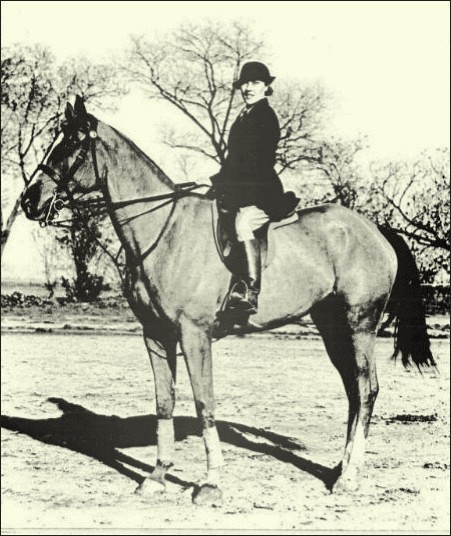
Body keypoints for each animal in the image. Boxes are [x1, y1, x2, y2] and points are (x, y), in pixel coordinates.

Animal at [20, 97, 434, 506]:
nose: (29, 201)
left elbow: (204, 403)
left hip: (360, 323)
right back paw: (341, 468)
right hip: (331, 326)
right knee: (352, 390)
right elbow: (164, 402)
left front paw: (211, 483)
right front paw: (157, 477)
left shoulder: (194, 334)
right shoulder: (155, 334)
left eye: (71, 145)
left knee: (366, 389)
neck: (163, 231)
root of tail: (374, 228)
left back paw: (349, 478)